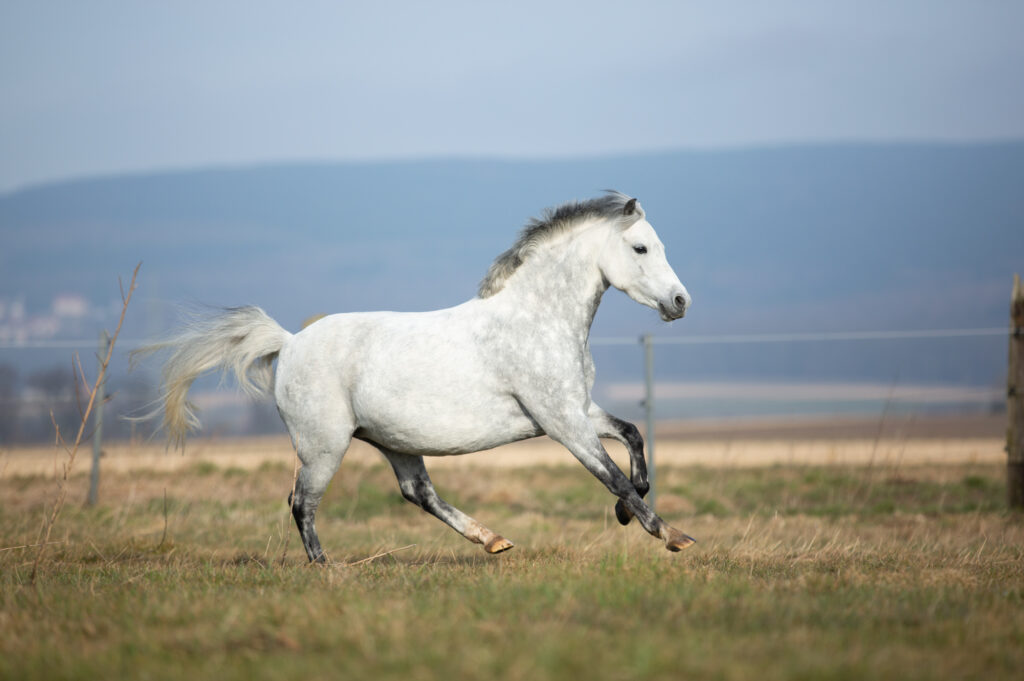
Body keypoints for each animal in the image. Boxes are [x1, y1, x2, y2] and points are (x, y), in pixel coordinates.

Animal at [145, 191, 694, 562]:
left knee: (417, 493)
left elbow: (632, 438)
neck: (537, 320)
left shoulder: (576, 410)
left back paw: (492, 540)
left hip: (394, 441)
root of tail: (290, 342)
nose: (680, 302)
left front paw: (630, 514)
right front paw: (671, 535)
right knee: (302, 502)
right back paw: (327, 568)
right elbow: (612, 475)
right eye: (641, 249)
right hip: (323, 447)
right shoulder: (562, 422)